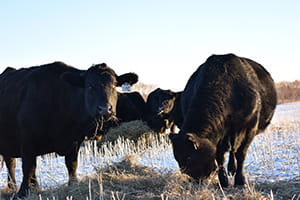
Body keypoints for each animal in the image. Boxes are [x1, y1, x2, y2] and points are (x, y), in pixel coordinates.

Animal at [0, 61, 138, 196]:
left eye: (114, 85)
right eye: (90, 86)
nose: (105, 109)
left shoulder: (74, 141)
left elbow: (72, 165)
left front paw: (73, 184)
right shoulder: (27, 141)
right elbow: (28, 167)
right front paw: (22, 192)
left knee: (11, 162)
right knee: (12, 164)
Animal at [169, 53, 276, 188]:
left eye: (189, 158)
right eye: (177, 159)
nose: (195, 180)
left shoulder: (250, 127)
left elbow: (241, 153)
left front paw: (240, 180)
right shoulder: (219, 134)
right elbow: (220, 156)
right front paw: (223, 181)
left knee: (234, 150)